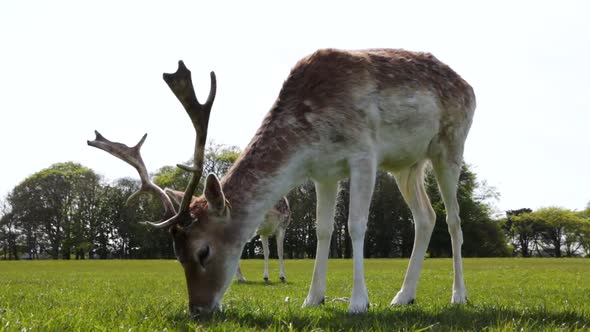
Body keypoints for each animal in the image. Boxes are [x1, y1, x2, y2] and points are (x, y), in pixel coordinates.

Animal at [88, 48, 476, 316]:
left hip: (450, 145)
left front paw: (358, 303)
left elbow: (354, 225)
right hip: (406, 165)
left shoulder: (364, 154)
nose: (197, 309)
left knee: (454, 219)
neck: (309, 136)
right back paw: (403, 296)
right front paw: (313, 299)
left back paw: (458, 295)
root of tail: (469, 86)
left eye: (203, 251)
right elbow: (323, 230)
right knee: (425, 217)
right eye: (175, 255)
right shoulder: (324, 172)